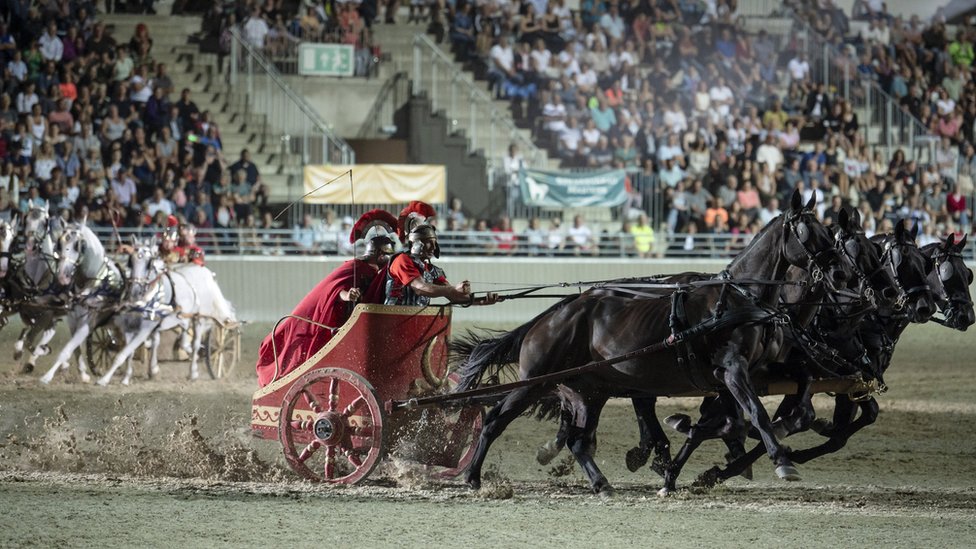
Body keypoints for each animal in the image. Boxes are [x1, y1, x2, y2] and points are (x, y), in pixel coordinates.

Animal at [39, 220, 125, 384]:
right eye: (59, 243)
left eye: (78, 245)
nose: (62, 277)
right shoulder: (73, 321)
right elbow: (76, 349)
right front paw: (83, 373)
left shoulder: (87, 324)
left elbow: (67, 349)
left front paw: (47, 376)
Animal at [96, 237, 237, 386]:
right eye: (130, 261)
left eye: (149, 262)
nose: (135, 290)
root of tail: (206, 273)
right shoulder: (129, 327)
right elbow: (129, 352)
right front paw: (126, 377)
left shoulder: (145, 328)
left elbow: (122, 354)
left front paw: (103, 380)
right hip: (182, 317)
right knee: (178, 336)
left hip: (199, 318)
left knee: (196, 343)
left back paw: (193, 371)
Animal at [454, 192, 852, 492]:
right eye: (807, 231)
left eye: (828, 230)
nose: (840, 272)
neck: (739, 298)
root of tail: (550, 316)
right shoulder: (732, 369)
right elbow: (755, 412)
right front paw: (781, 461)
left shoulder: (752, 372)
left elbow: (771, 403)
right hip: (536, 381)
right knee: (495, 420)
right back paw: (472, 476)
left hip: (592, 389)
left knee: (579, 440)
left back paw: (602, 483)